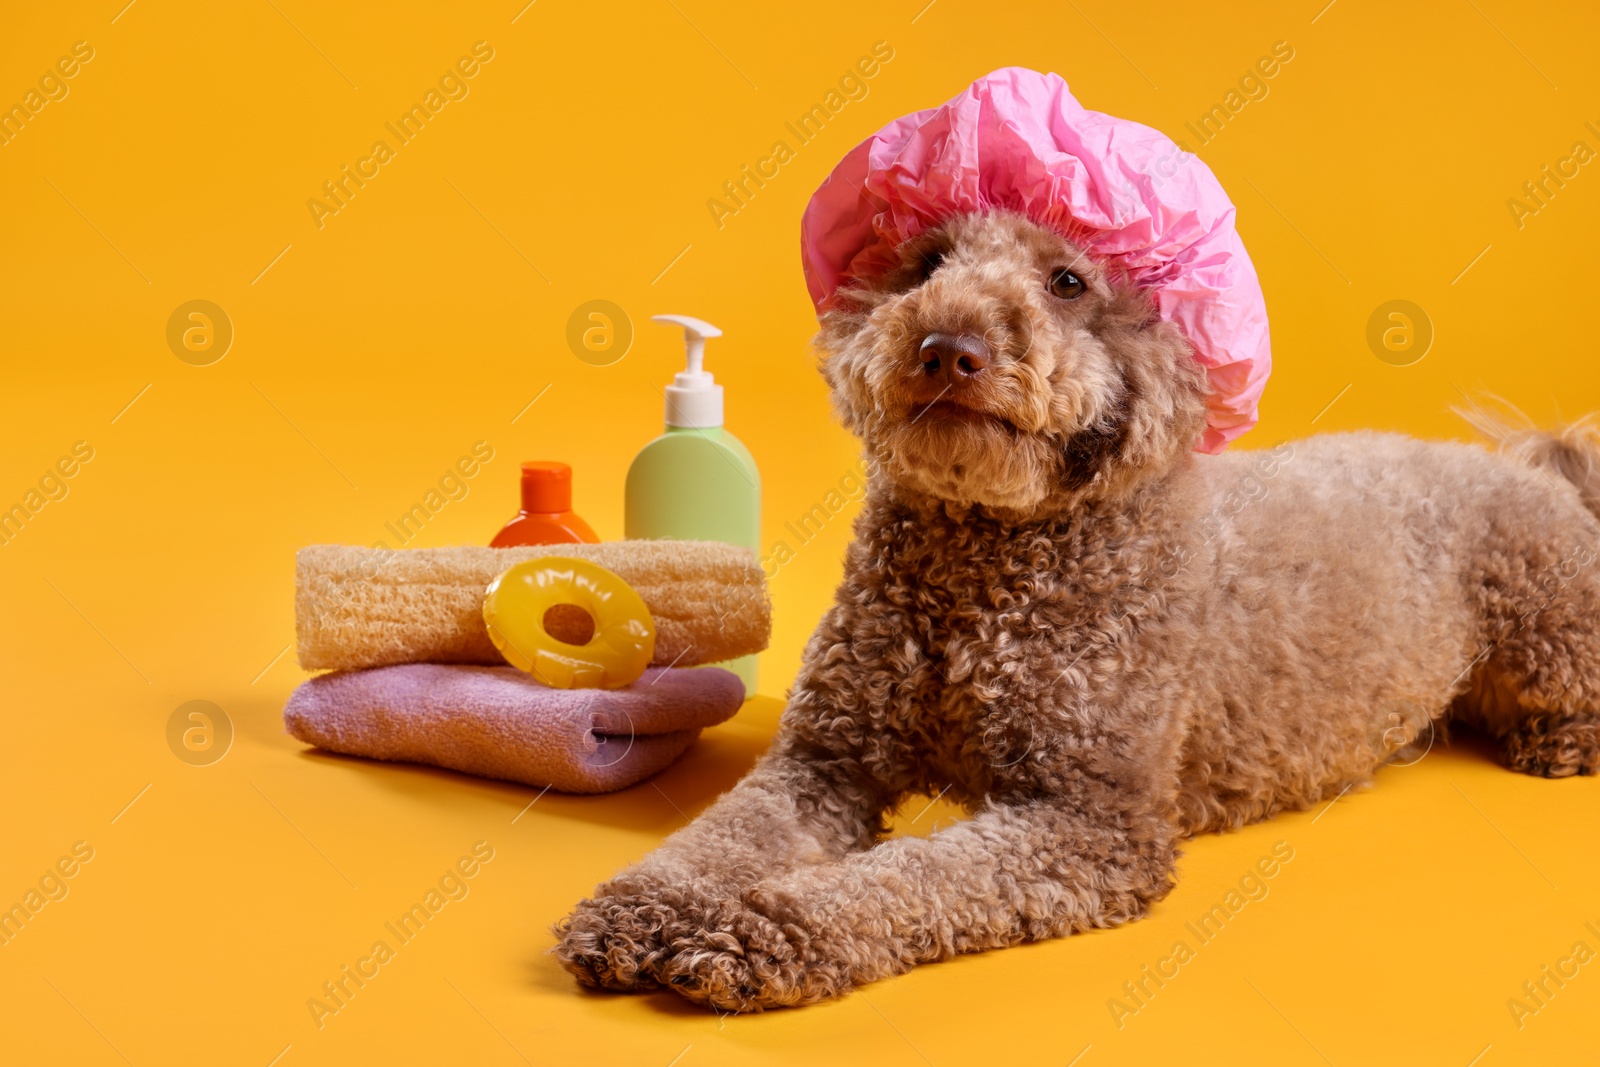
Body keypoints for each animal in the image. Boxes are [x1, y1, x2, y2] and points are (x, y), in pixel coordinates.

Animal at [553, 206, 1600, 1011]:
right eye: (926, 264)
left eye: (1066, 281)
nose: (947, 347)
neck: (987, 564)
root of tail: (1534, 467)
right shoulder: (824, 759)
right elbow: (721, 836)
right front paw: (644, 908)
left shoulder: (1087, 821)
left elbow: (900, 880)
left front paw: (754, 931)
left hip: (1546, 619)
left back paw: (1560, 740)